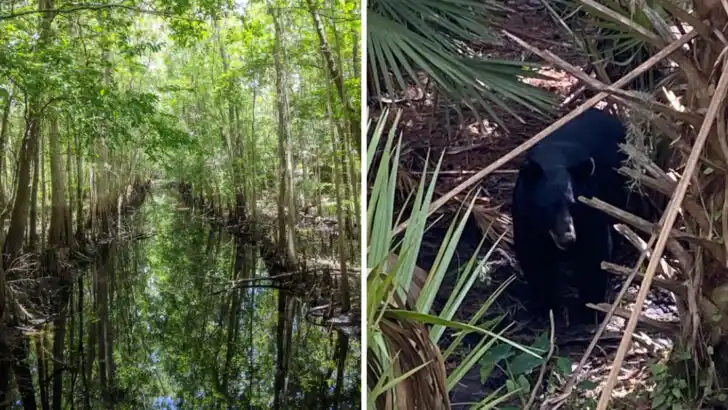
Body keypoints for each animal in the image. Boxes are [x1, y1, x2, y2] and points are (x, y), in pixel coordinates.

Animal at [512, 107, 629, 325]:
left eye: (573, 205)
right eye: (546, 207)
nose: (568, 238)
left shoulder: (590, 210)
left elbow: (594, 254)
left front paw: (589, 310)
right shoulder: (526, 218)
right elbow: (534, 257)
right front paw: (545, 307)